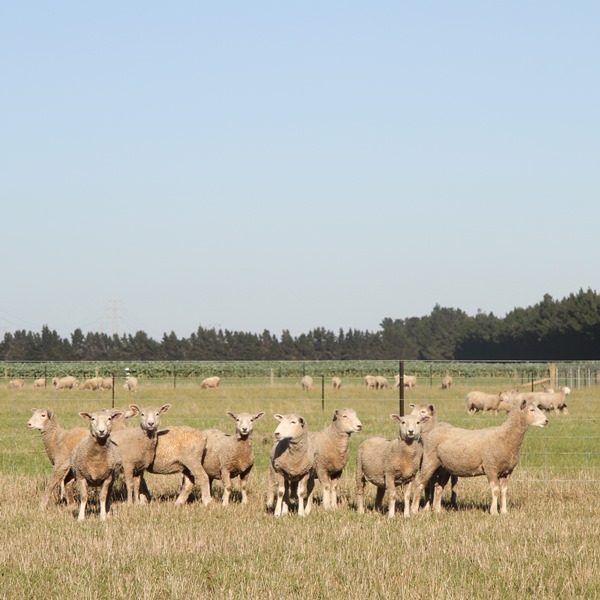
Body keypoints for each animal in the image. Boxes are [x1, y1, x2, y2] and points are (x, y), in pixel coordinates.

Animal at [412, 398, 548, 516]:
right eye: (532, 410)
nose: (546, 421)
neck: (505, 437)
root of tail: (432, 431)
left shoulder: (507, 471)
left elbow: (504, 491)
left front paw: (504, 511)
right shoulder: (491, 467)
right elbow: (495, 490)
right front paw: (494, 512)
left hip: (444, 467)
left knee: (439, 487)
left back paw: (437, 511)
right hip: (429, 461)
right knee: (420, 483)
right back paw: (414, 510)